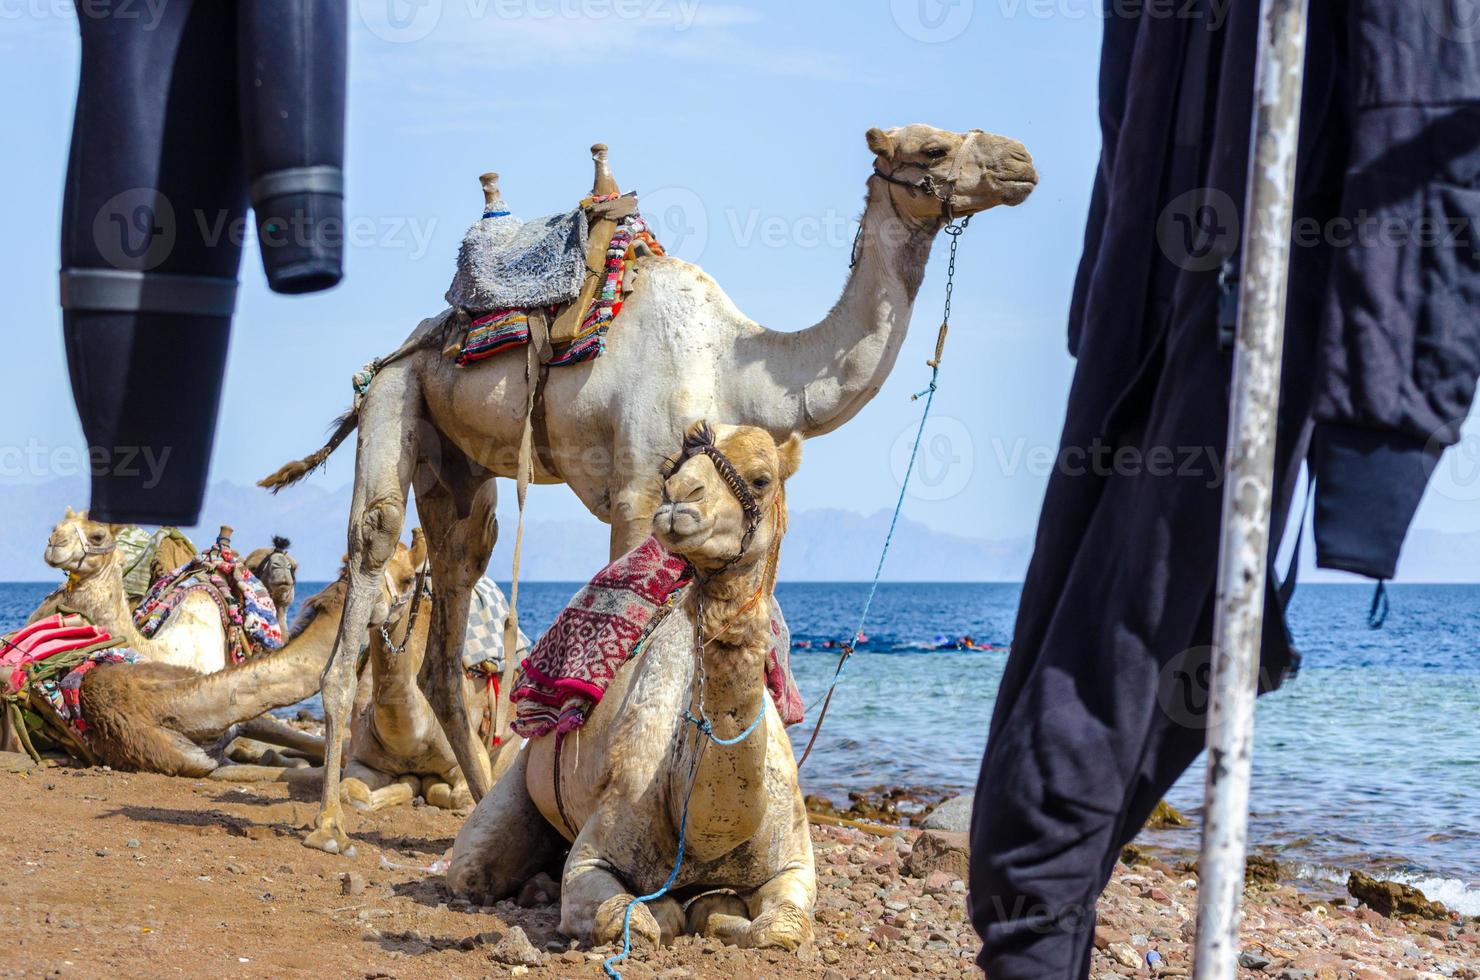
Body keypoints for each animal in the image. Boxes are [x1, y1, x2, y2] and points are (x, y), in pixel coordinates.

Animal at [449, 420, 822, 953]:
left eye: (760, 478)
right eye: (672, 469)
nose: (679, 497)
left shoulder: (794, 862)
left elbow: (782, 929)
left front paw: (719, 912)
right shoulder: (595, 852)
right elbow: (630, 919)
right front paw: (674, 912)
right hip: (516, 775)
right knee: (471, 869)